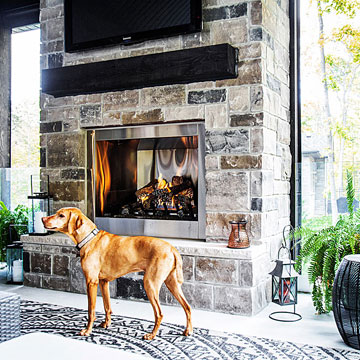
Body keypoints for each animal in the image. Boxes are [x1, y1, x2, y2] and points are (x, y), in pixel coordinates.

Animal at [42, 207, 193, 338]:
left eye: (61, 215)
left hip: (150, 284)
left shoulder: (91, 282)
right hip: (172, 283)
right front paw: (106, 324)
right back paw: (188, 330)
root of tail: (172, 248)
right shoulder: (103, 282)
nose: (43, 218)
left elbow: (91, 310)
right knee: (187, 307)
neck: (89, 239)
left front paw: (87, 330)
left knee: (159, 313)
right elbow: (107, 306)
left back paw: (152, 335)